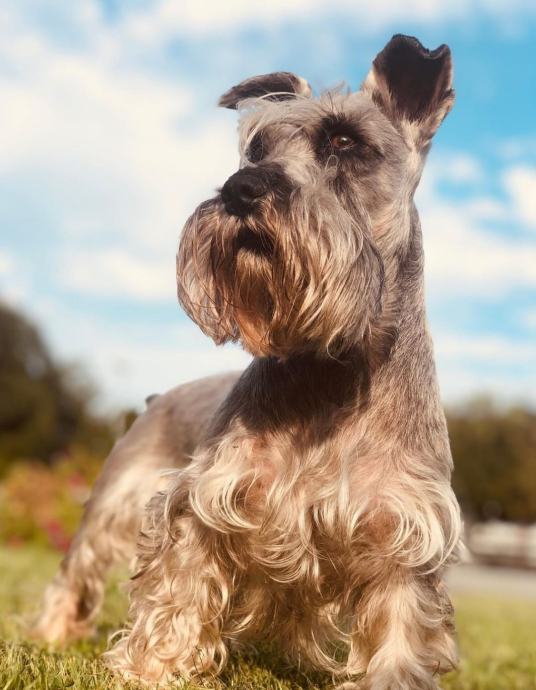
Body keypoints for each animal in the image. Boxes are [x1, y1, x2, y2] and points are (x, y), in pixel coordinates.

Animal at [34, 35, 462, 690]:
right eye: (257, 147)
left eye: (343, 141)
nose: (240, 188)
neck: (329, 369)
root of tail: (158, 397)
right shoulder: (198, 503)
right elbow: (176, 597)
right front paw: (152, 670)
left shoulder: (404, 539)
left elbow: (398, 636)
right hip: (112, 499)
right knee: (74, 571)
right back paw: (52, 634)